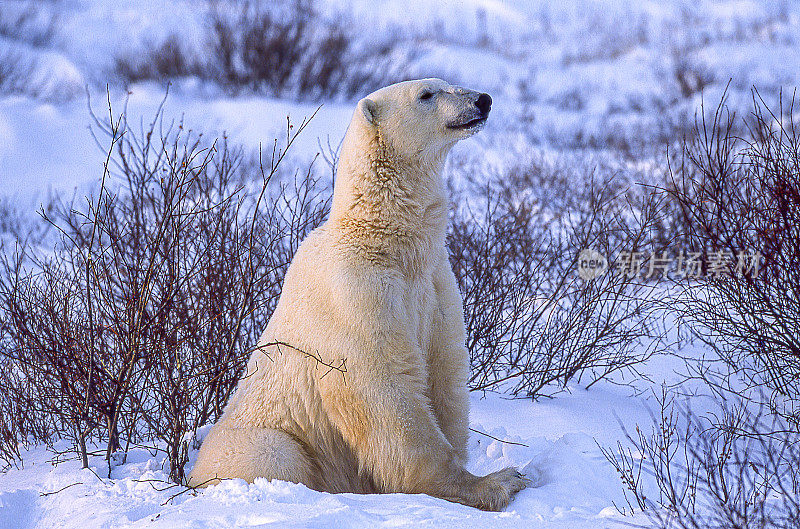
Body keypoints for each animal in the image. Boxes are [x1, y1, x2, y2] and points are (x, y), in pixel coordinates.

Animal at [190, 77, 528, 508]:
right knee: (275, 455)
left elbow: (444, 368)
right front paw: (497, 481)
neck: (383, 239)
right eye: (427, 94)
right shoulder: (355, 291)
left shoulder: (435, 282)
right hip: (256, 440)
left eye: (447, 84)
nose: (482, 101)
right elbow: (384, 386)